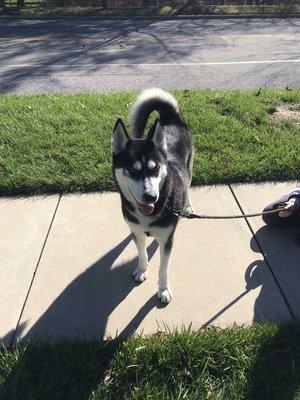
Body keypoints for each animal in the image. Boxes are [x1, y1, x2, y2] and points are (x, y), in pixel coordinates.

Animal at [111, 89, 193, 304]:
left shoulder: (167, 240)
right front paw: (142, 270)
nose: (151, 197)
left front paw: (163, 289)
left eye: (155, 169)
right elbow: (142, 254)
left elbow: (163, 269)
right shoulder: (137, 232)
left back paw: (187, 205)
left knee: (188, 184)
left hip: (190, 167)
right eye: (133, 170)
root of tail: (170, 117)